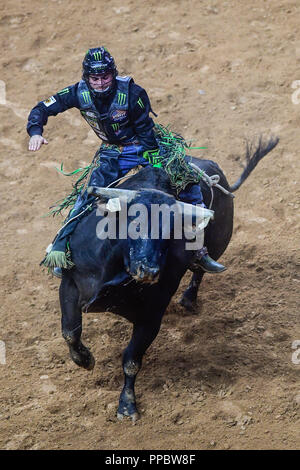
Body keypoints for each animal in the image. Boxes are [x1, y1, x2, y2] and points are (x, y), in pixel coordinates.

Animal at [58, 137, 278, 422]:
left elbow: (131, 360)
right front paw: (85, 360)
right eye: (133, 223)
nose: (149, 270)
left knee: (199, 271)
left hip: (218, 244)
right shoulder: (70, 284)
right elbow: (70, 332)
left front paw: (127, 406)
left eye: (171, 232)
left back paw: (189, 298)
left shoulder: (152, 316)